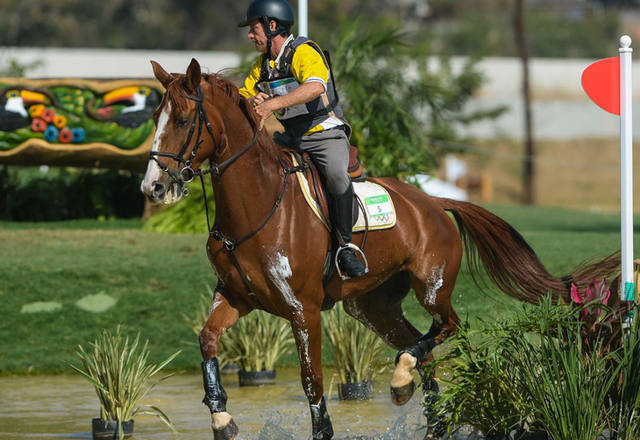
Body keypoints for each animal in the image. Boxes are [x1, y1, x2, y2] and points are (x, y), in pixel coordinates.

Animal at [141, 58, 620, 440]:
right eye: (155, 118)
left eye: (182, 120)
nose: (153, 187)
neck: (256, 206)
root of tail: (434, 202)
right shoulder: (237, 296)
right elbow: (207, 340)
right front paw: (221, 419)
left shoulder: (303, 310)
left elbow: (312, 381)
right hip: (372, 306)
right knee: (421, 349)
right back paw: (421, 404)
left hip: (432, 286)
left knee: (446, 326)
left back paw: (402, 377)